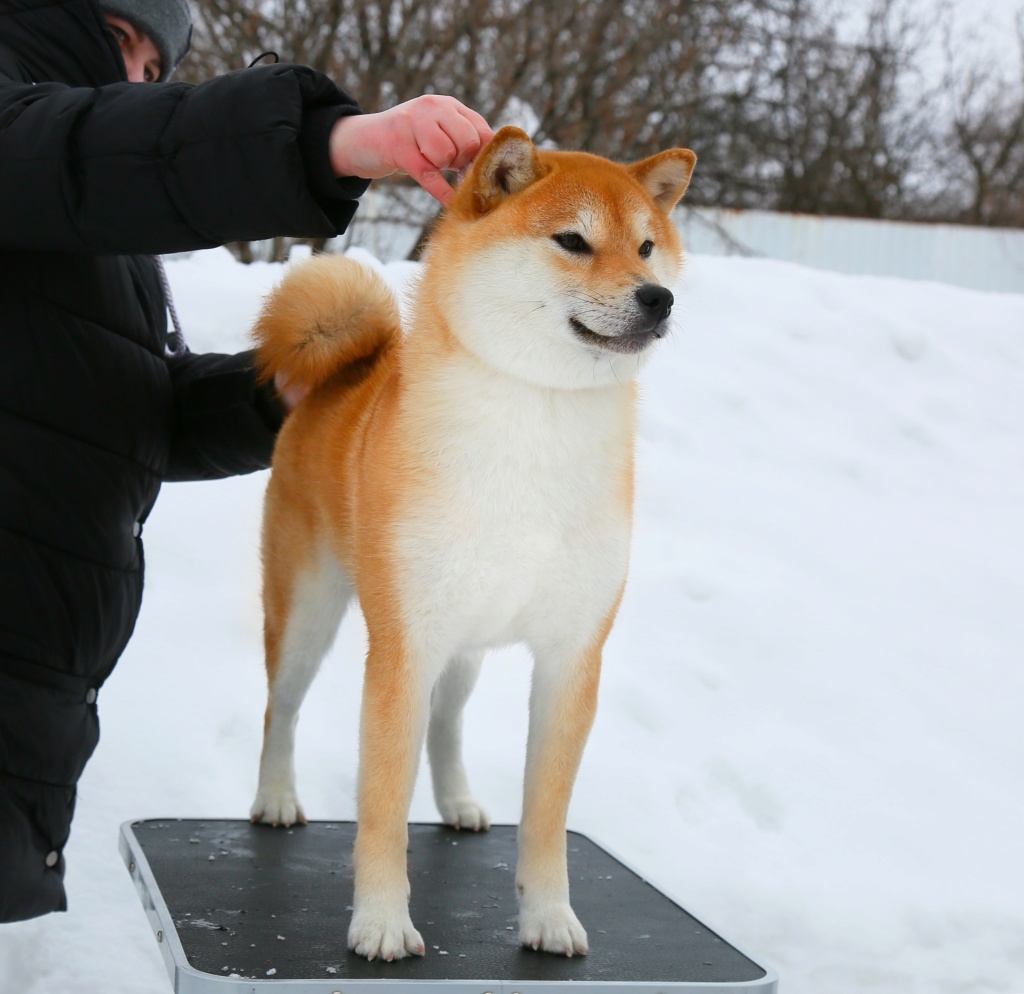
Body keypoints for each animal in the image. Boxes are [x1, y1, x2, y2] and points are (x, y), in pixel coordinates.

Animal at [248, 126, 696, 962]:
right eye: (573, 241)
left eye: (648, 247)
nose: (660, 297)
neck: (538, 413)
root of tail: (343, 373)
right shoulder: (402, 648)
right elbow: (382, 812)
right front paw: (381, 922)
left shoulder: (571, 657)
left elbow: (547, 819)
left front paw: (549, 918)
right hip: (308, 617)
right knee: (280, 709)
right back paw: (275, 796)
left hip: (466, 647)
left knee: (446, 723)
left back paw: (457, 801)